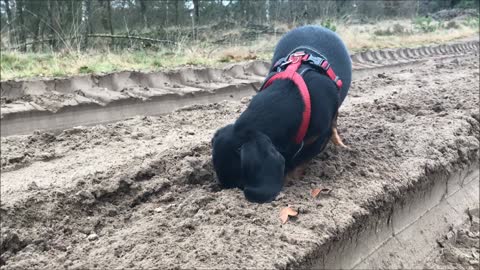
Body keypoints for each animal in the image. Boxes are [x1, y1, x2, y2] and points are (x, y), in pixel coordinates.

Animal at [212, 25, 350, 202]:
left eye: (240, 185)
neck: (290, 95)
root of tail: (317, 27)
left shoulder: (318, 139)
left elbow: (301, 159)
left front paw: (289, 177)